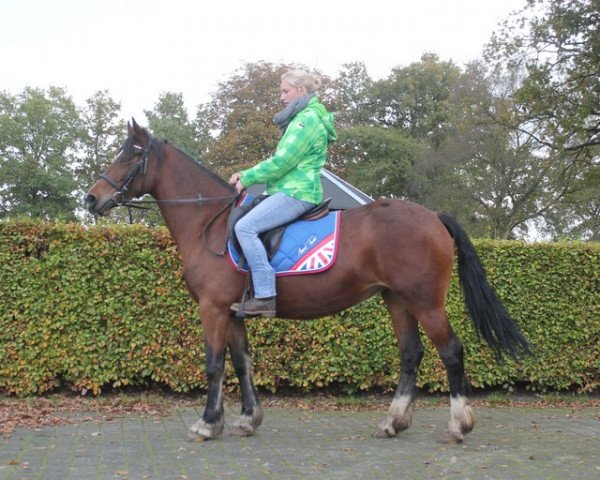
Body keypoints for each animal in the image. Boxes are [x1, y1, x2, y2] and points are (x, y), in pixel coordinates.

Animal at [85, 119, 528, 442]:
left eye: (129, 155)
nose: (92, 198)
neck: (208, 222)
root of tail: (432, 215)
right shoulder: (233, 312)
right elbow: (242, 363)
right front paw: (248, 419)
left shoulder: (212, 309)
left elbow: (214, 365)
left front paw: (208, 423)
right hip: (397, 300)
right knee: (411, 355)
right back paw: (394, 422)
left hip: (425, 301)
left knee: (451, 351)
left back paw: (458, 424)